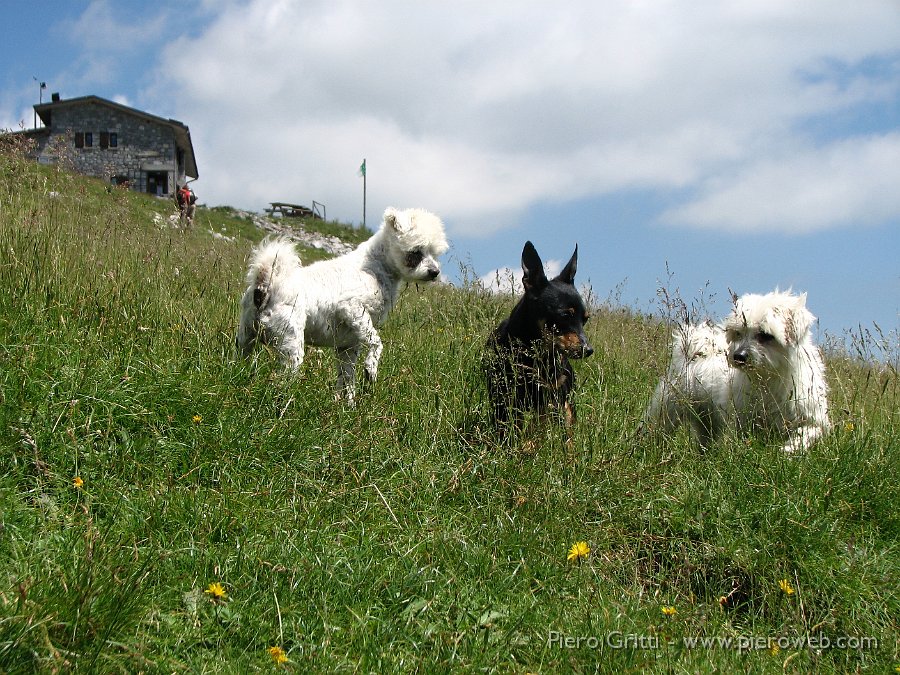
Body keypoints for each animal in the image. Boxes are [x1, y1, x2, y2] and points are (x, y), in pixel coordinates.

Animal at [237, 206, 448, 402]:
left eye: (435, 253)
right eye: (416, 252)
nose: (435, 272)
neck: (376, 266)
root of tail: (265, 285)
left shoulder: (348, 346)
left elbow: (347, 381)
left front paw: (346, 408)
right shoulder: (352, 308)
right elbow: (376, 342)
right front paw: (371, 368)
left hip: (245, 339)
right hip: (290, 342)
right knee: (284, 381)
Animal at [648, 290, 828, 454]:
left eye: (765, 335)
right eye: (738, 333)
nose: (738, 356)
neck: (769, 378)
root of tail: (695, 347)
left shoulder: (811, 417)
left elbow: (806, 434)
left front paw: (788, 450)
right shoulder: (744, 420)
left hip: (706, 420)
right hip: (668, 408)